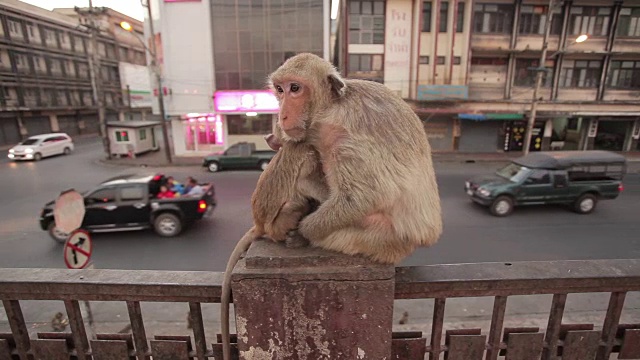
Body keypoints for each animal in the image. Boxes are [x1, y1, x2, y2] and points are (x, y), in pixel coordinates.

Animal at [268, 51, 442, 264]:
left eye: (295, 88)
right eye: (279, 89)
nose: (282, 115)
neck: (331, 110)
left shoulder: (348, 141)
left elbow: (363, 197)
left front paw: (303, 231)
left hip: (378, 240)